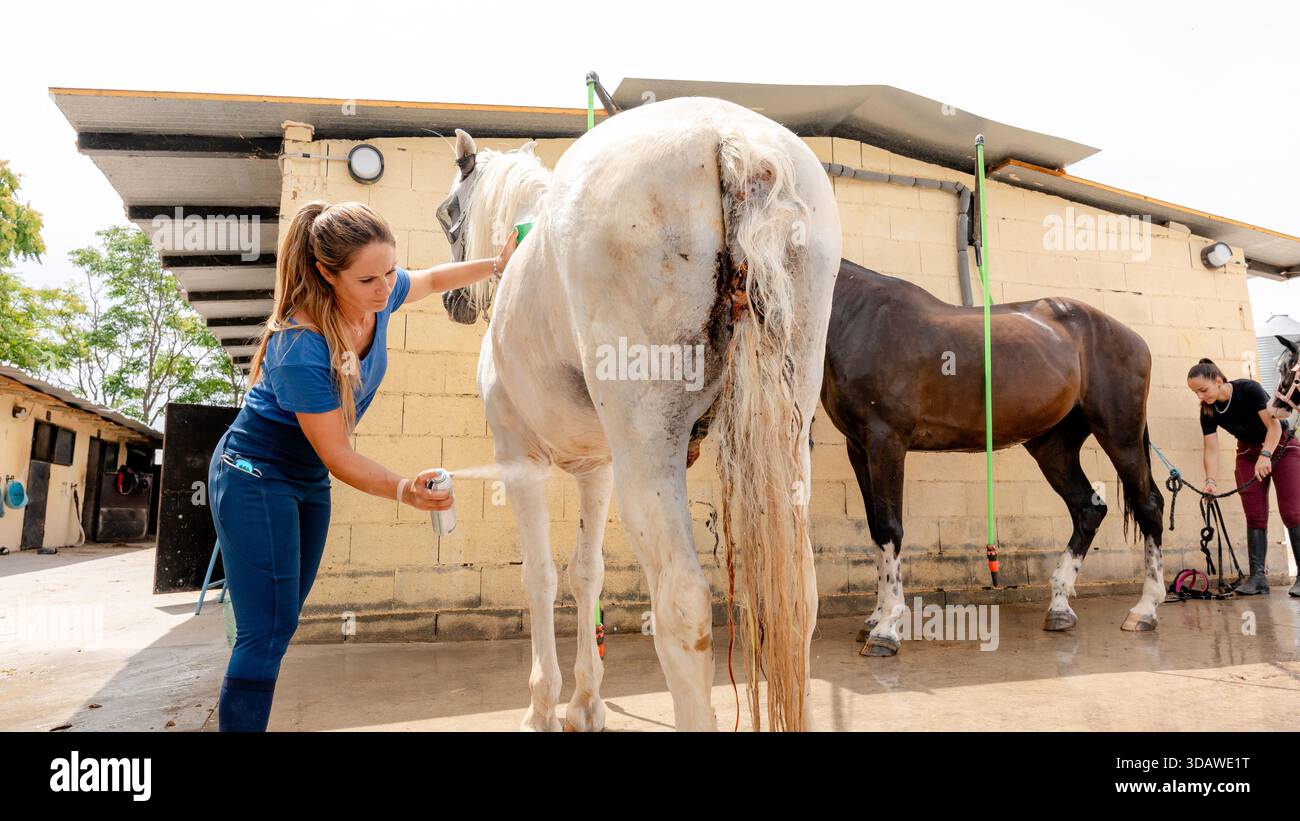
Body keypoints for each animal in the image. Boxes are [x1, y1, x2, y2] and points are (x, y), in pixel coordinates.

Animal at [434, 97, 842, 731]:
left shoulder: (520, 461)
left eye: (446, 213)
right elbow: (586, 573)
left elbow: (539, 576)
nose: (454, 300)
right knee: (797, 595)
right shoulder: (595, 470)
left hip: (648, 453)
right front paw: (585, 703)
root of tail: (732, 137)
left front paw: (543, 707)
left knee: (683, 602)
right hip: (784, 440)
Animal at [819, 260, 1166, 657]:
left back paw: (1144, 611)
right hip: (1053, 448)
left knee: (1149, 505)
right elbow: (876, 531)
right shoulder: (859, 449)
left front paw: (886, 630)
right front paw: (874, 619)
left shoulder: (886, 441)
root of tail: (1132, 338)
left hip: (1120, 437)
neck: (860, 318)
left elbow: (890, 529)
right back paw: (1059, 608)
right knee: (1087, 509)